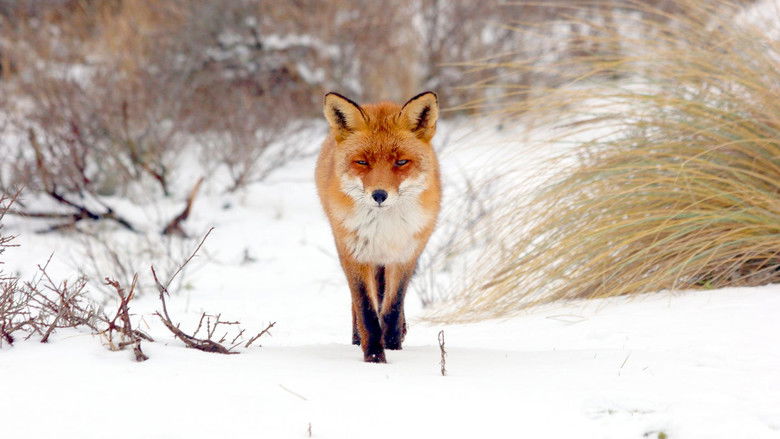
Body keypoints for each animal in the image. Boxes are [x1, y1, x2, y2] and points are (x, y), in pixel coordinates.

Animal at [315, 91, 441, 363]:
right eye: (362, 162)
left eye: (401, 162)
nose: (379, 195)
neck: (384, 228)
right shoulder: (354, 254)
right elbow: (366, 309)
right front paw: (374, 357)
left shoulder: (406, 254)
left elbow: (393, 308)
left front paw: (392, 346)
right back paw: (356, 339)